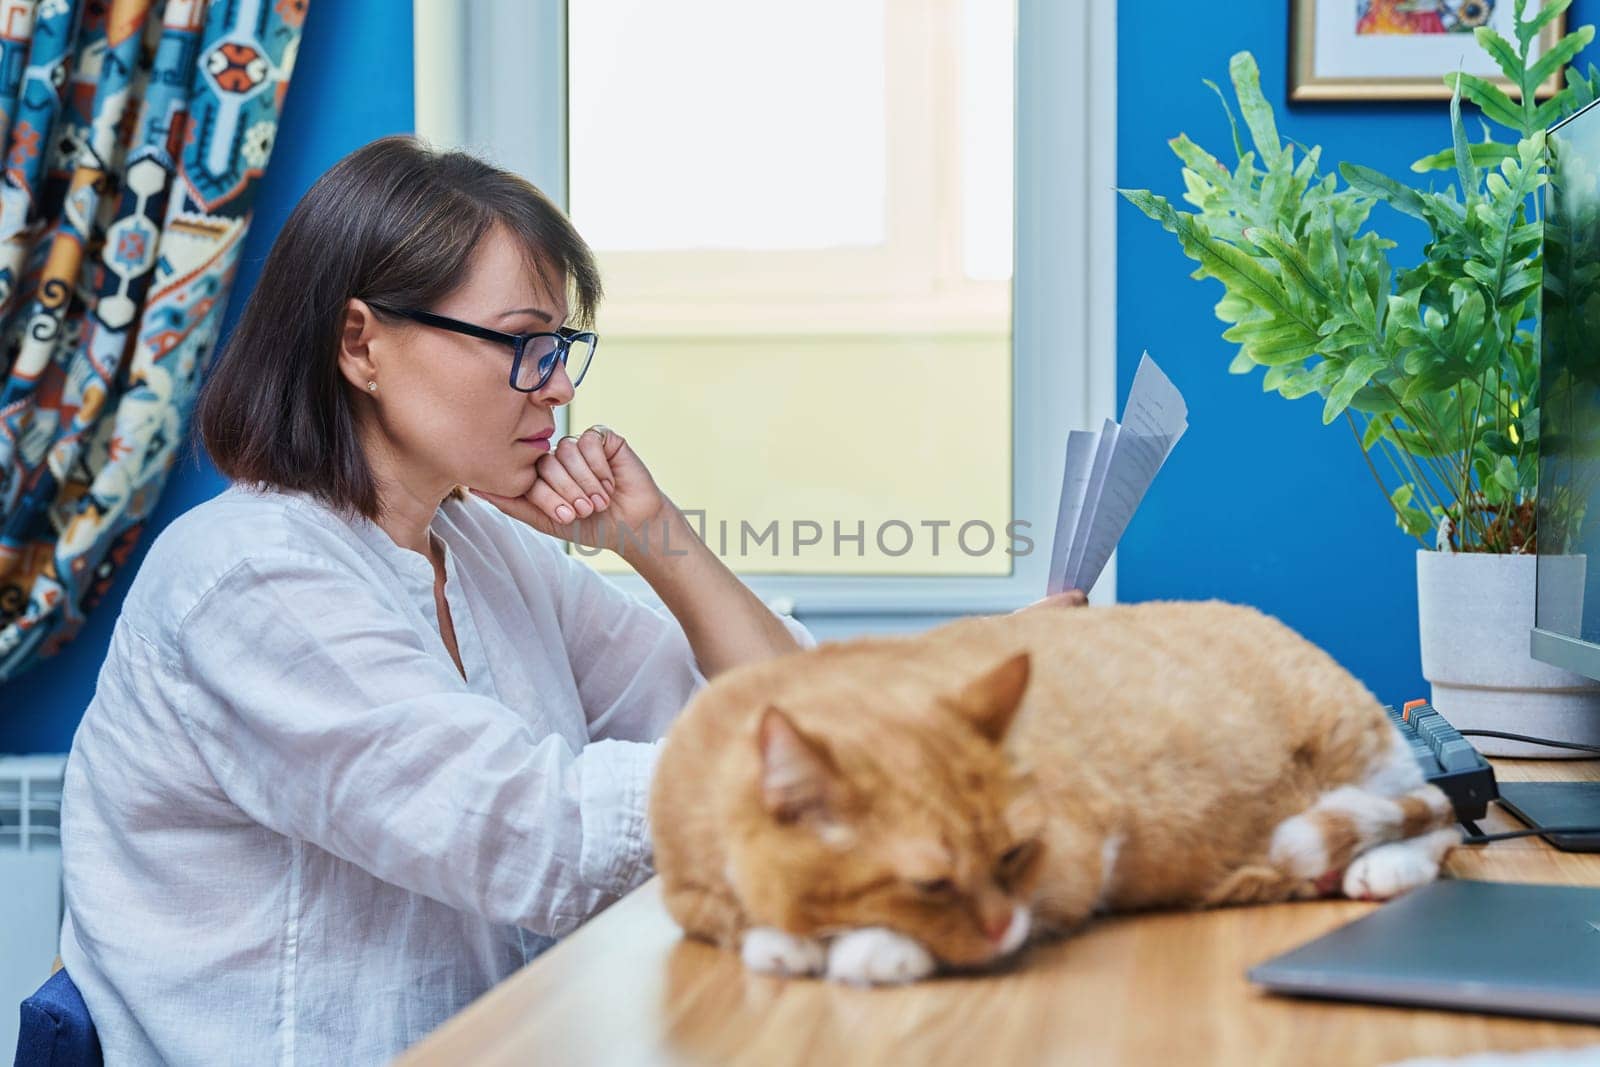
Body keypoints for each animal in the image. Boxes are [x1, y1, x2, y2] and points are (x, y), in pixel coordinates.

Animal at [649, 601, 1465, 985]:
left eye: (1015, 854)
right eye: (932, 882)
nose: (1003, 928)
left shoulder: (1076, 856)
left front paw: (874, 948)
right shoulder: (692, 895)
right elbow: (743, 926)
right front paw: (785, 942)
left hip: (1366, 753)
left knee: (1442, 827)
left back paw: (1377, 867)